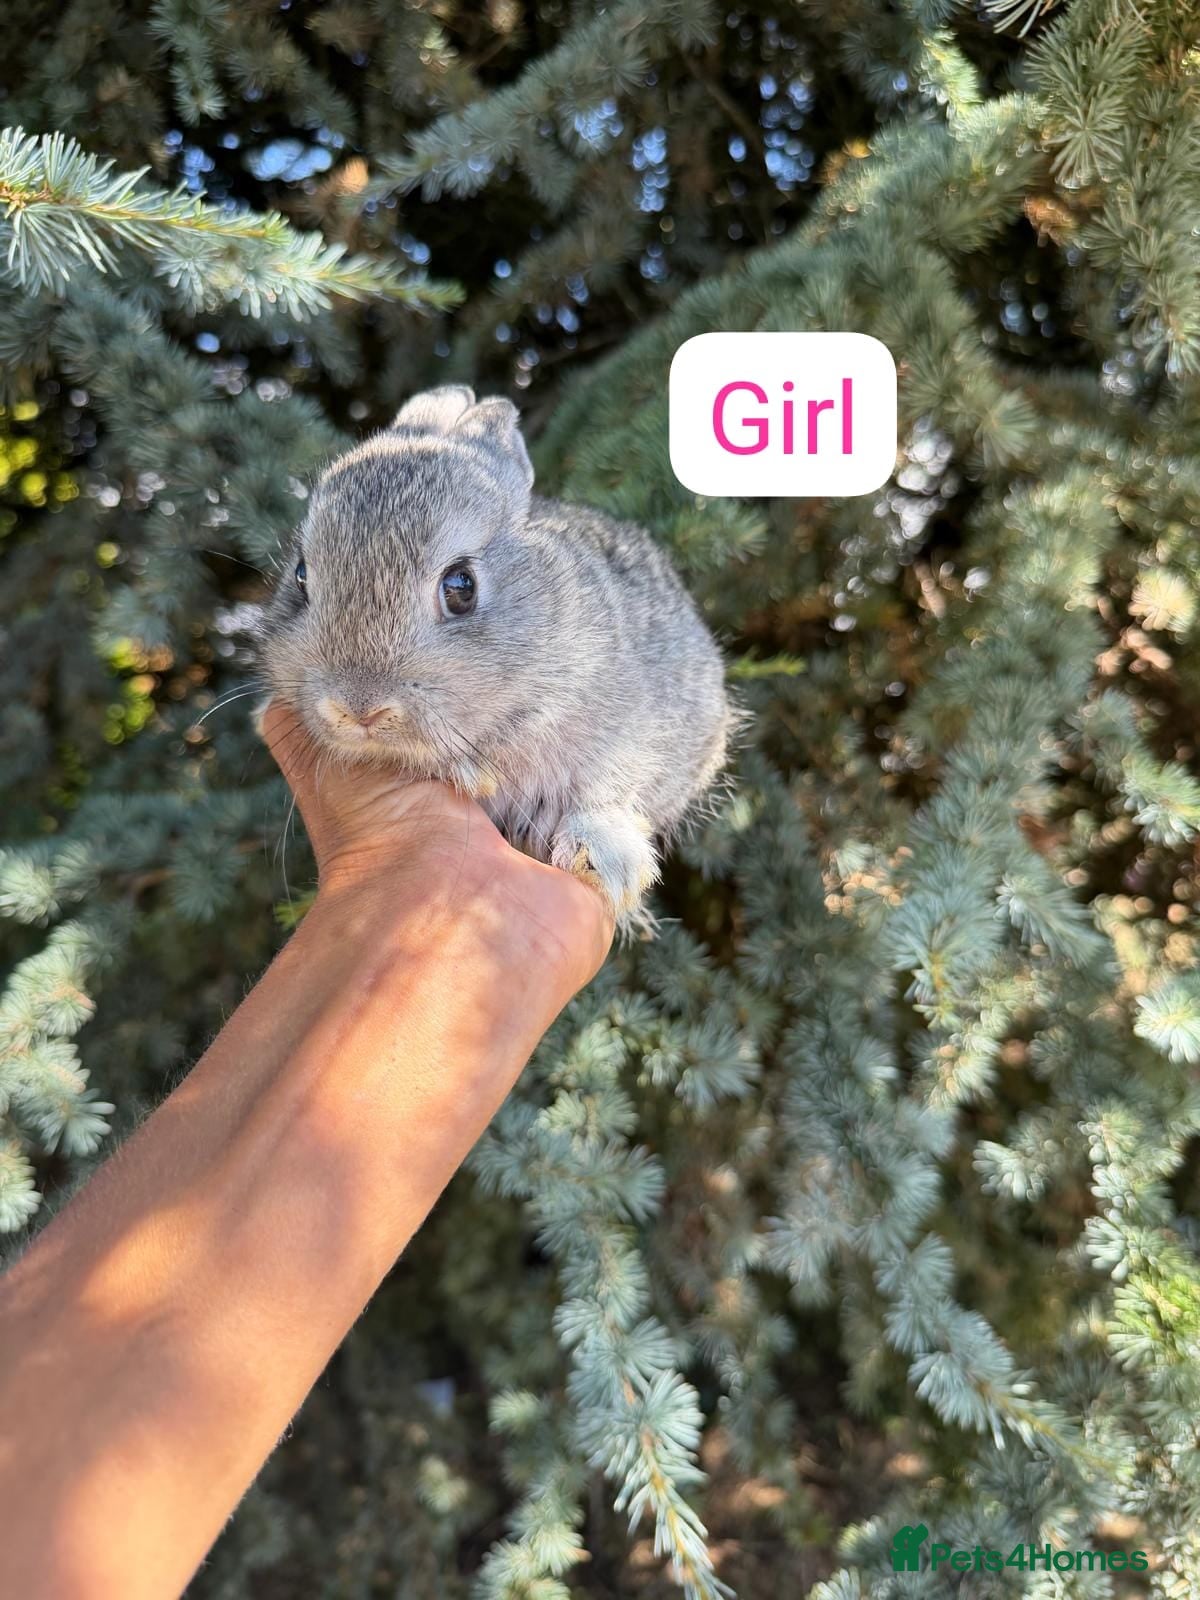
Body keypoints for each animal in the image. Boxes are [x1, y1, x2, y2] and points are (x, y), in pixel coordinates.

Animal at [259, 384, 734, 926]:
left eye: (461, 586)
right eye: (300, 577)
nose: (357, 708)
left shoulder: (633, 728)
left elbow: (608, 789)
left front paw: (603, 859)